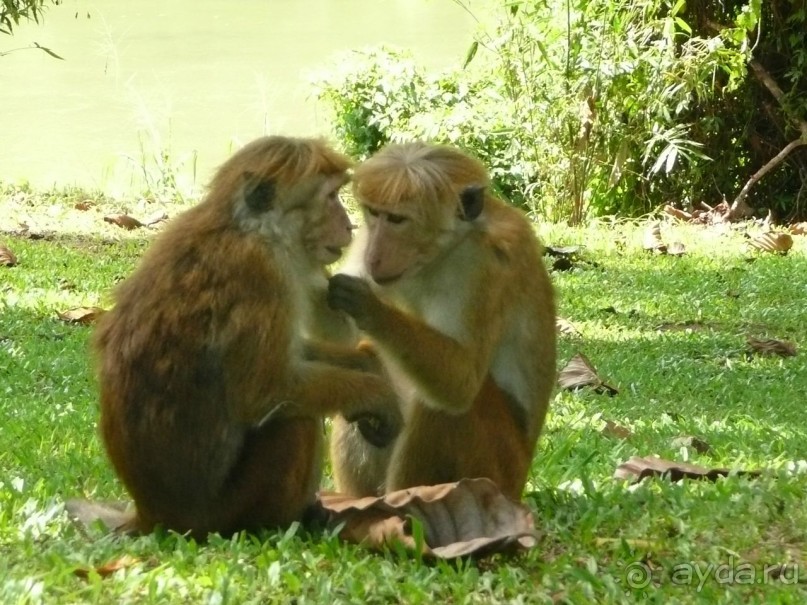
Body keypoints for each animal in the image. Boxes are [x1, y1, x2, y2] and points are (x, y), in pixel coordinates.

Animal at [93, 134, 400, 536]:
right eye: (332, 196)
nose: (349, 227)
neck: (250, 229)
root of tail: (152, 515)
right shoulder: (263, 274)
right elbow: (264, 390)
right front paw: (375, 394)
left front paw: (368, 362)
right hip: (222, 512)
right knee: (295, 420)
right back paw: (289, 522)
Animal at [326, 142, 556, 500]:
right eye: (373, 214)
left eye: (397, 219)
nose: (374, 256)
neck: (436, 257)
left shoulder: (479, 266)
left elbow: (460, 382)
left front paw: (369, 308)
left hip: (497, 469)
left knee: (445, 407)